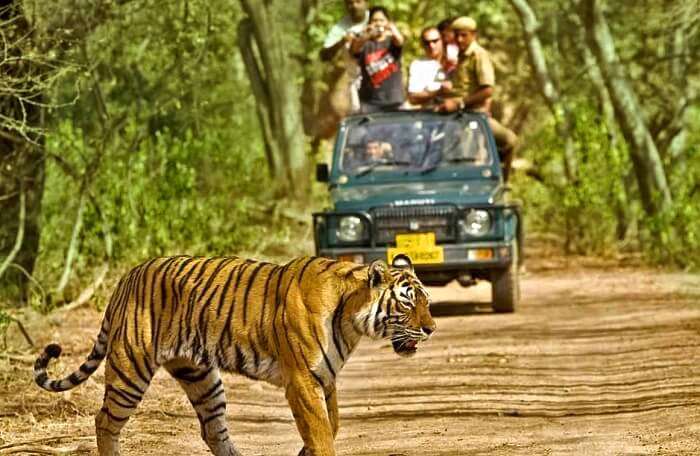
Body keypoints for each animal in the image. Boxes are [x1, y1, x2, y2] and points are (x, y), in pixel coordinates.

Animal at [33, 254, 435, 456]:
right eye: (407, 303)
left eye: (427, 301)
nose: (432, 329)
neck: (351, 317)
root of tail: (127, 277)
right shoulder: (303, 380)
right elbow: (322, 433)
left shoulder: (326, 377)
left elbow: (331, 425)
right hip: (131, 368)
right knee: (105, 421)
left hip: (200, 376)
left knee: (213, 430)